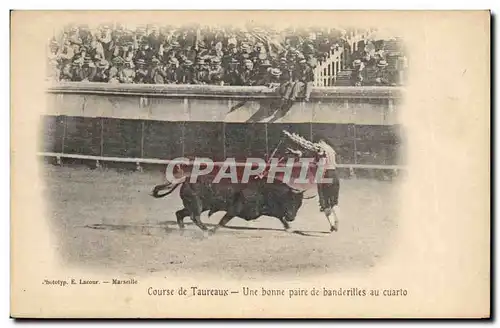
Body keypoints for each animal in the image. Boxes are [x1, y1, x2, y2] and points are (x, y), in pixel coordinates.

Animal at [150, 174, 312, 233]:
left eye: (299, 204)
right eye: (290, 201)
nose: (292, 217)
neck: (263, 189)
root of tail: (186, 179)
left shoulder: (262, 210)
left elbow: (279, 216)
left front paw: (288, 228)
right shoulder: (235, 209)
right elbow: (223, 220)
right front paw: (214, 230)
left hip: (196, 206)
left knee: (180, 213)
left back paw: (183, 229)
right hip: (197, 205)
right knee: (194, 217)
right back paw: (205, 229)